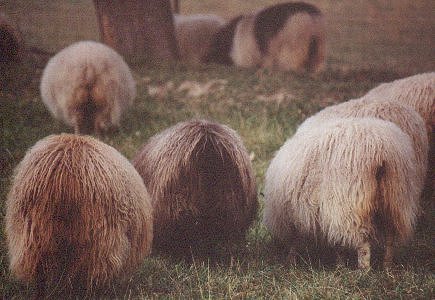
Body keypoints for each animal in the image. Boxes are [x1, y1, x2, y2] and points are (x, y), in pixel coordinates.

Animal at [264, 118, 424, 270]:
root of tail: (381, 152)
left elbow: (298, 242)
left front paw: (291, 262)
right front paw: (340, 265)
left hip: (351, 204)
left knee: (363, 243)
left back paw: (364, 270)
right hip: (396, 199)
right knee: (390, 237)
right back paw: (387, 266)